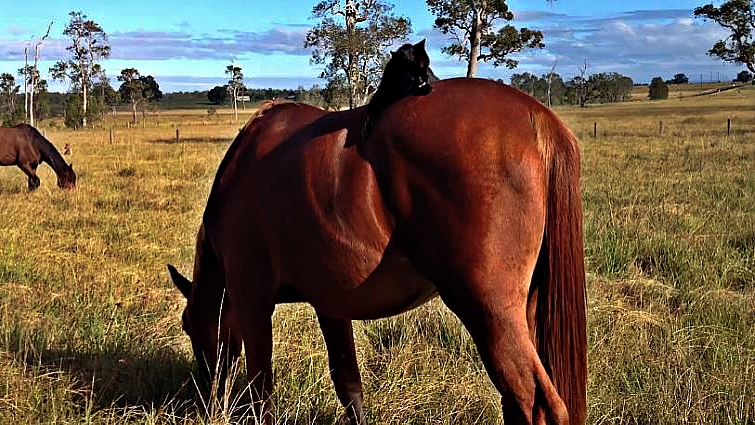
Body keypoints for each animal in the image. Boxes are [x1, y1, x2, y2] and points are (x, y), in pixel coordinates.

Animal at [168, 78, 586, 425]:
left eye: (188, 325)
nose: (205, 400)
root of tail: (537, 115)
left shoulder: (251, 302)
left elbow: (261, 392)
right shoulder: (330, 305)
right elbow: (349, 385)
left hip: (489, 312)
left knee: (539, 407)